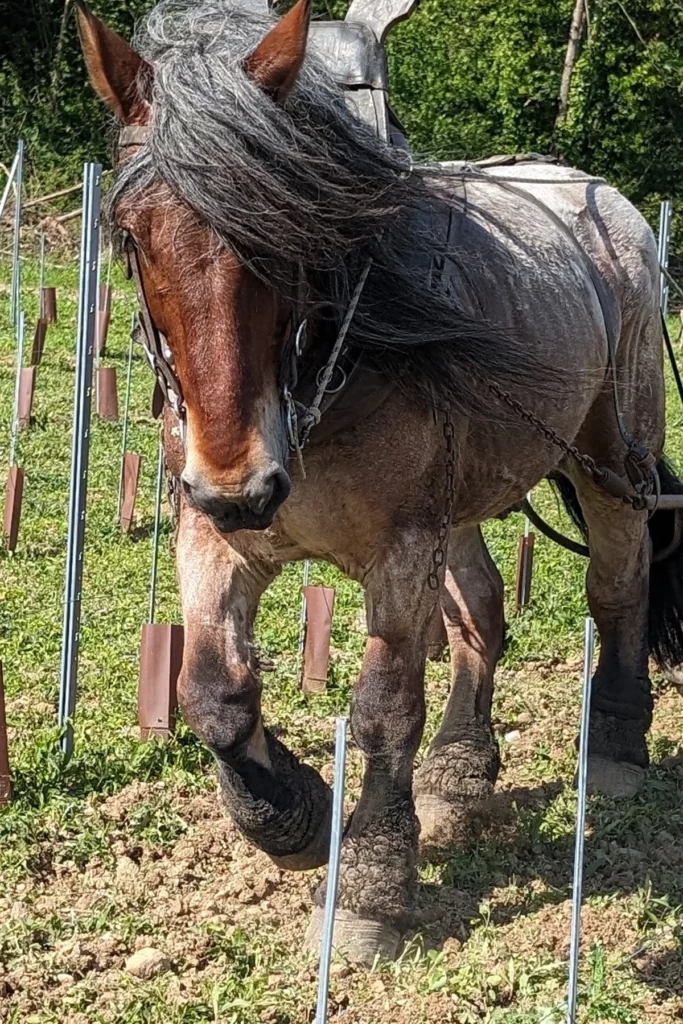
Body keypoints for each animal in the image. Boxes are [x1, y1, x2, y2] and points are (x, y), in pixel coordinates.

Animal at [77, 0, 683, 963]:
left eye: (291, 229)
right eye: (132, 236)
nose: (241, 484)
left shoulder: (398, 551)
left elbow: (383, 710)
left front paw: (368, 885)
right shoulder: (211, 535)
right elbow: (211, 694)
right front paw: (293, 817)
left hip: (611, 454)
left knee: (616, 583)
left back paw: (618, 744)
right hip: (463, 497)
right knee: (480, 611)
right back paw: (459, 774)